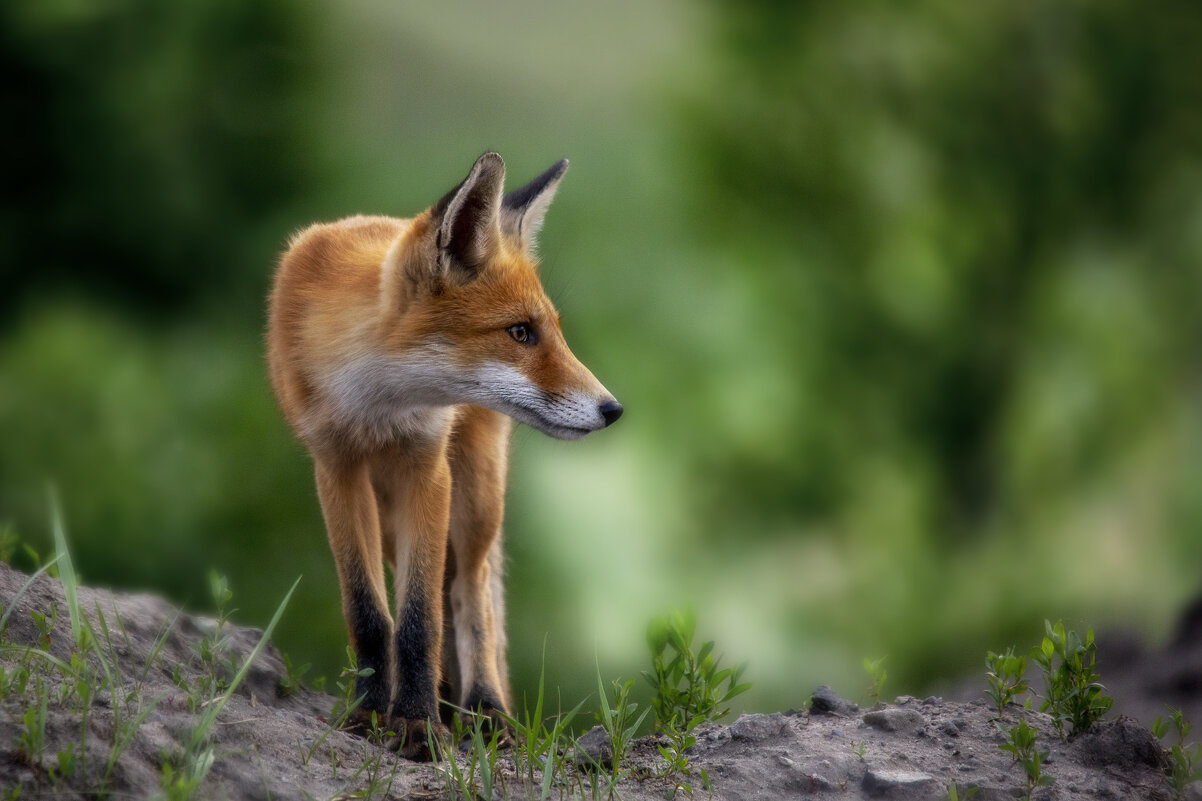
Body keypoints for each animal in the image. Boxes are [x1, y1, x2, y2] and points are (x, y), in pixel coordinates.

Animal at [264, 152, 620, 760]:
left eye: (552, 331)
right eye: (520, 332)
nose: (612, 408)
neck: (377, 405)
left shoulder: (428, 468)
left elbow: (420, 618)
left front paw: (416, 722)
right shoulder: (335, 467)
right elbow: (369, 613)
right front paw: (371, 713)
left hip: (475, 496)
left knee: (469, 594)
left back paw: (483, 709)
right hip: (389, 514)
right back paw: (447, 700)